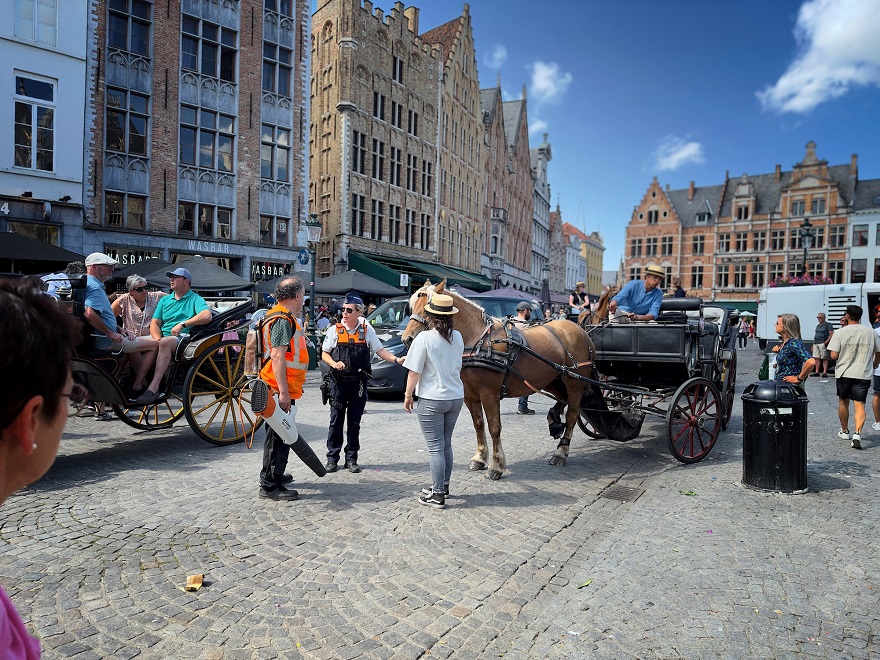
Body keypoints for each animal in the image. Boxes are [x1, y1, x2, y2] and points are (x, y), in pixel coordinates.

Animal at [400, 280, 596, 480]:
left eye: (428, 309)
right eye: (412, 307)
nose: (407, 339)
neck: (478, 340)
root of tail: (581, 331)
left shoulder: (489, 393)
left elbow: (494, 427)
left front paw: (496, 466)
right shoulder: (469, 395)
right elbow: (478, 425)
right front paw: (480, 458)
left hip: (574, 383)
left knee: (572, 414)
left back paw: (561, 452)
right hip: (552, 379)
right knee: (562, 400)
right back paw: (554, 420)